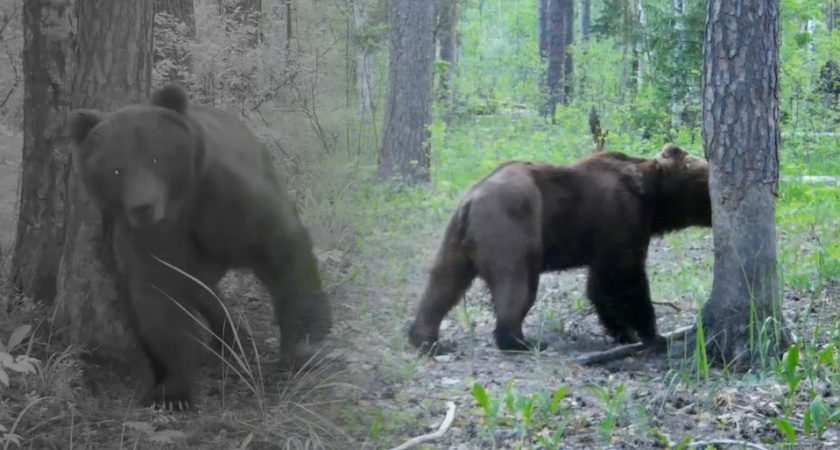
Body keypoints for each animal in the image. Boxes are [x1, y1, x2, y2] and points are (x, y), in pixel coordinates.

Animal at [69, 84, 332, 412]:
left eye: (155, 158)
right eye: (116, 169)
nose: (143, 207)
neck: (179, 207)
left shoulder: (225, 201)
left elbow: (281, 250)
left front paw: (303, 345)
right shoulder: (149, 239)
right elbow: (159, 298)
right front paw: (171, 391)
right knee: (204, 293)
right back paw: (229, 337)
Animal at [406, 145, 708, 356]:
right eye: (705, 180)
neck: (651, 196)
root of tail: (472, 200)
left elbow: (600, 286)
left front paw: (623, 332)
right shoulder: (619, 219)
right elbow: (622, 279)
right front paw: (653, 336)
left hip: (456, 239)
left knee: (443, 283)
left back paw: (424, 337)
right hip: (512, 229)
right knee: (516, 285)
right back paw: (519, 341)